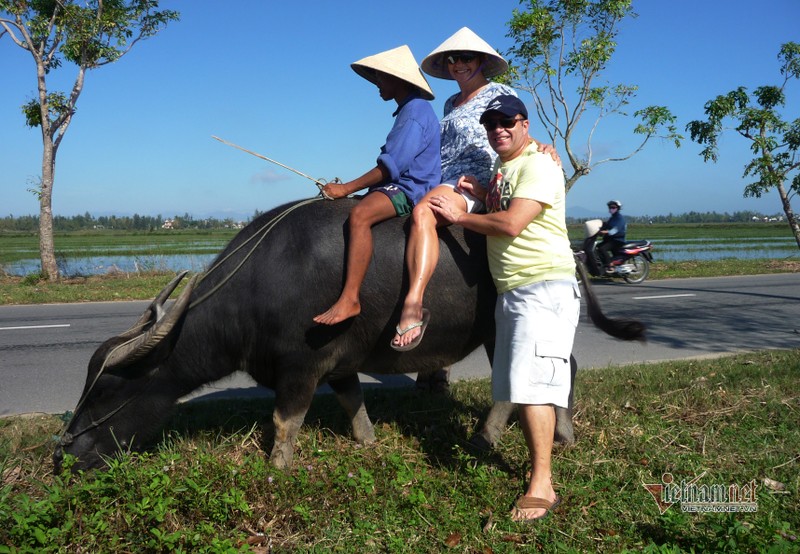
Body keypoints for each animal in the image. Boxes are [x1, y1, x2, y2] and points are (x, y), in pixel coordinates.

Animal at [54, 196, 644, 468]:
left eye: (106, 391)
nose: (65, 453)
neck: (257, 290)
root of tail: (567, 249)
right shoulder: (336, 364)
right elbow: (352, 401)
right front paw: (368, 442)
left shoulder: (299, 367)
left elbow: (285, 420)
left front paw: (277, 467)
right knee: (561, 369)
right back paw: (559, 433)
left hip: (512, 326)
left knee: (528, 380)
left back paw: (493, 436)